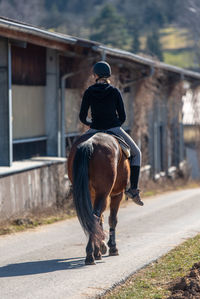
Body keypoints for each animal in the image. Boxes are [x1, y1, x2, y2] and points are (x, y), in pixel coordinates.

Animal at [67, 132, 130, 266]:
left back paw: (93, 253)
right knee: (96, 217)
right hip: (104, 193)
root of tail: (90, 143)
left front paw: (100, 248)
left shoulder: (92, 195)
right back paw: (90, 255)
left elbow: (100, 218)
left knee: (93, 218)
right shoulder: (117, 194)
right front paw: (112, 247)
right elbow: (112, 220)